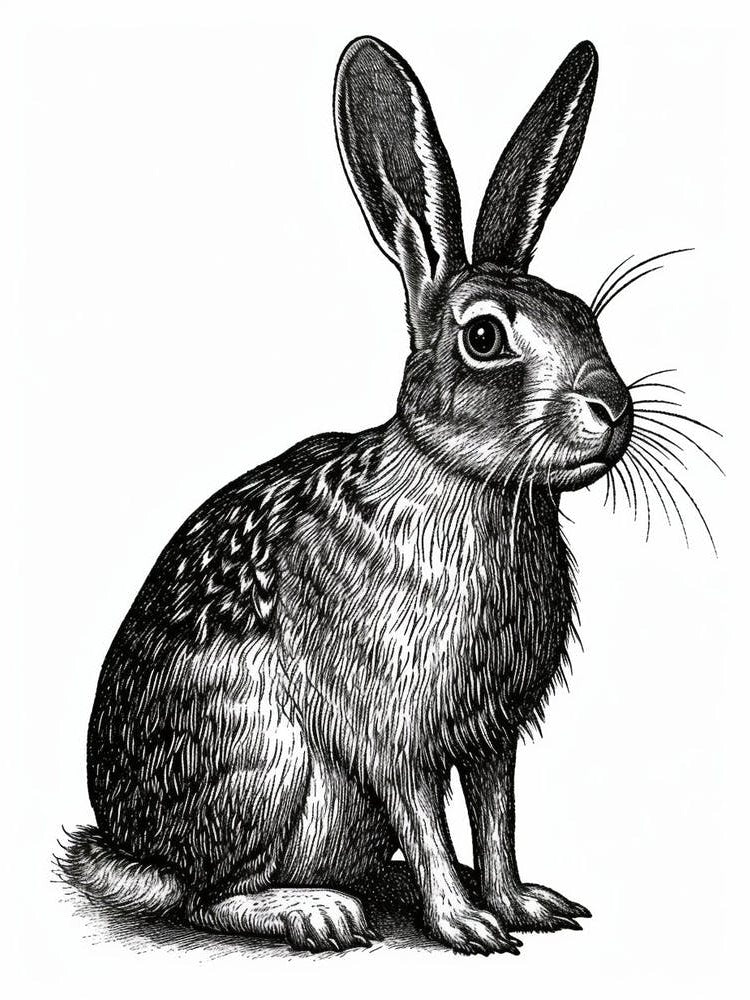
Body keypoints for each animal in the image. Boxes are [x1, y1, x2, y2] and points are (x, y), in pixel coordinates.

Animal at [62, 36, 634, 955]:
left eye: (584, 312)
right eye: (484, 337)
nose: (613, 408)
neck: (461, 478)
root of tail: (123, 846)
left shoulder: (494, 737)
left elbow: (498, 818)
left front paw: (523, 903)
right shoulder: (393, 734)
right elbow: (428, 822)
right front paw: (467, 925)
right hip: (262, 765)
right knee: (202, 895)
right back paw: (315, 912)